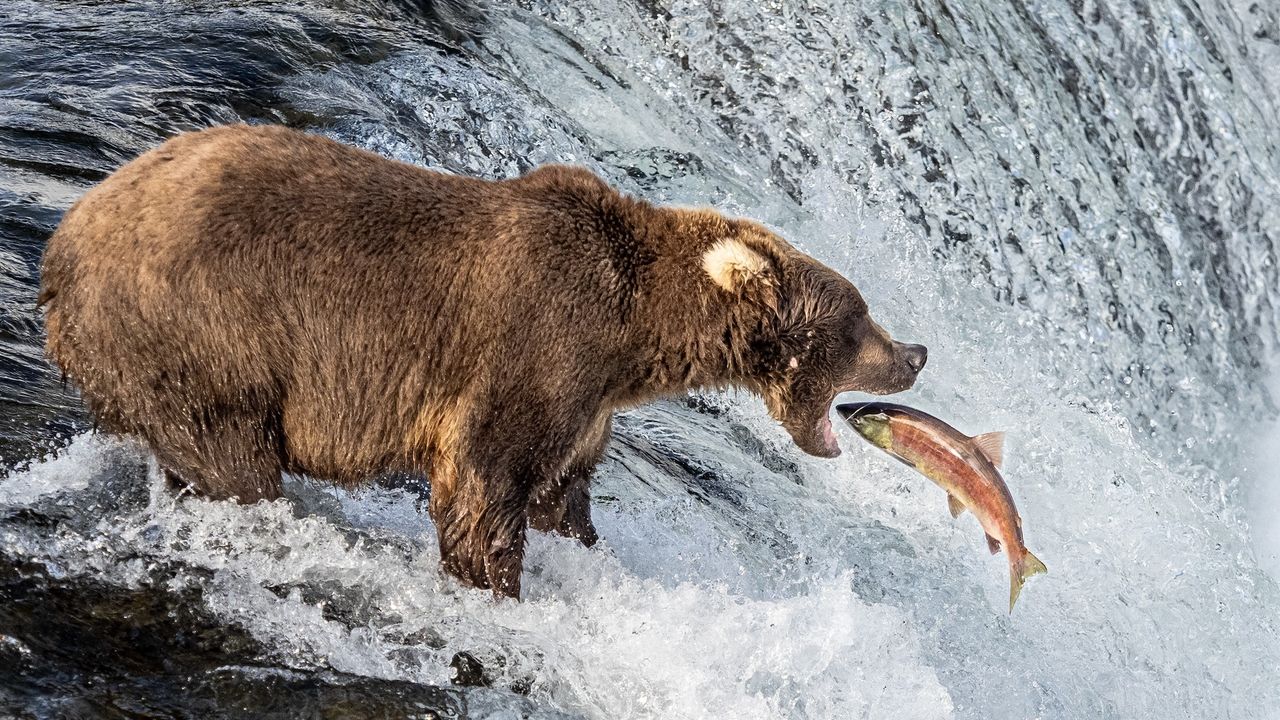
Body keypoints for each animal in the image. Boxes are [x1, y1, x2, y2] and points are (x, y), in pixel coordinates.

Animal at [39, 124, 927, 597]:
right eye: (858, 320)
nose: (916, 353)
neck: (636, 336)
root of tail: (63, 243)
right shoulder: (535, 346)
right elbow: (482, 483)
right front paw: (499, 585)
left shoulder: (586, 405)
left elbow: (562, 493)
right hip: (199, 332)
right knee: (233, 459)